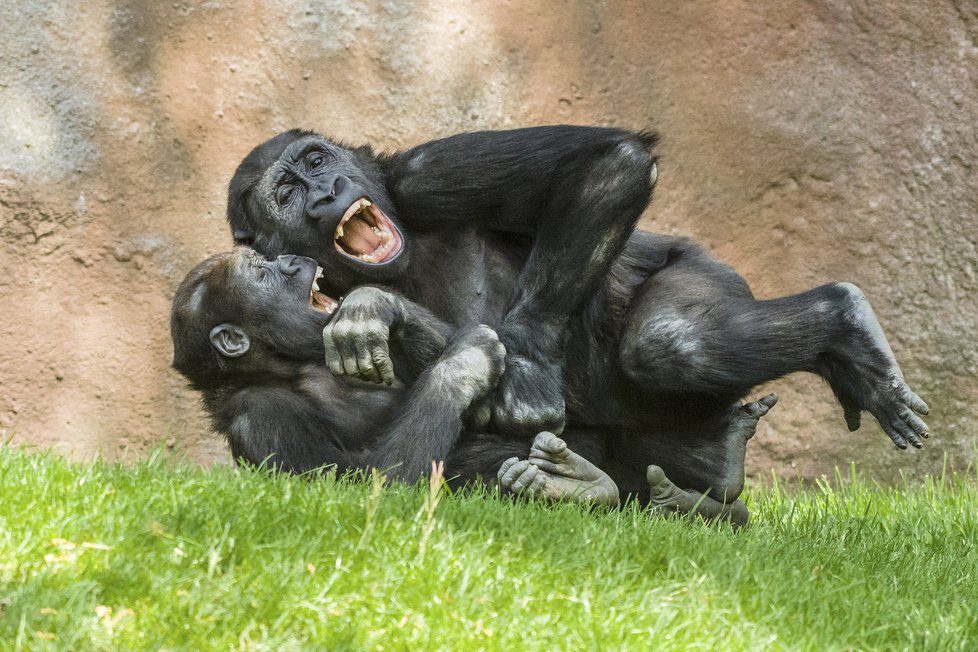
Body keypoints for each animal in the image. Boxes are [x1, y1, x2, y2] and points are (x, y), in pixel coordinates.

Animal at [172, 244, 760, 524]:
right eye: (263, 274)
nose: (293, 260)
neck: (286, 365)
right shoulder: (261, 416)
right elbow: (368, 486)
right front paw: (466, 363)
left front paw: (375, 304)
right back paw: (587, 487)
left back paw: (710, 479)